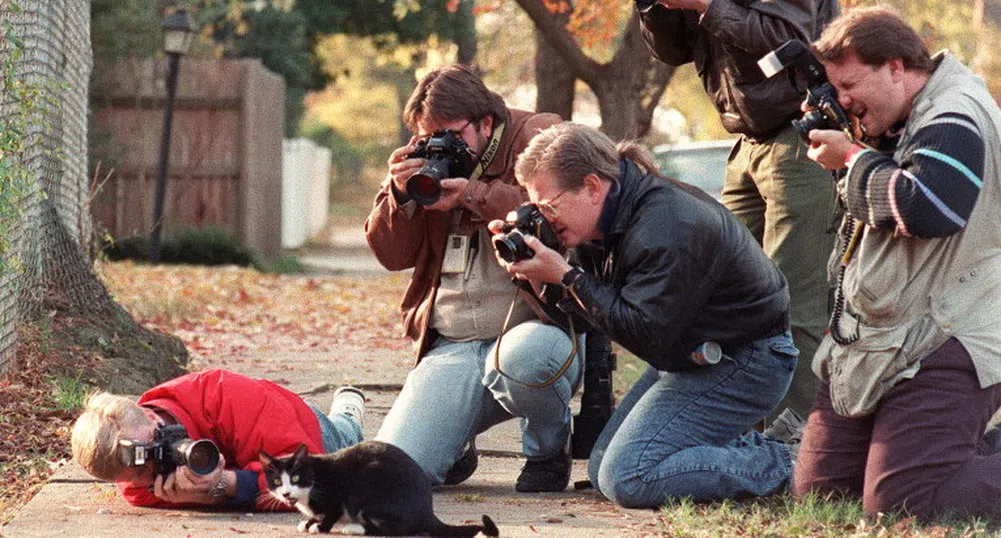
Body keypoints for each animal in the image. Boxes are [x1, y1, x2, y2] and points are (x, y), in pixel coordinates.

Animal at [260, 438, 498, 532]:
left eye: (296, 478)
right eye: (277, 481)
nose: (286, 493)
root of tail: (427, 511)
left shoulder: (335, 494)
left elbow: (331, 511)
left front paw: (319, 526)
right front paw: (309, 521)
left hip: (367, 482)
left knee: (395, 530)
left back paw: (354, 528)